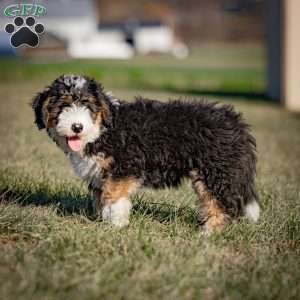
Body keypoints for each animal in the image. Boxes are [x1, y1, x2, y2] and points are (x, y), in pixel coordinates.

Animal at [31, 74, 258, 234]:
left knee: (221, 203)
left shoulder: (123, 168)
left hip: (215, 171)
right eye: (63, 105)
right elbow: (102, 198)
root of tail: (238, 125)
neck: (104, 129)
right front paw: (105, 222)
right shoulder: (101, 174)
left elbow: (113, 197)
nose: (77, 127)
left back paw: (208, 233)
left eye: (87, 104)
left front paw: (115, 225)